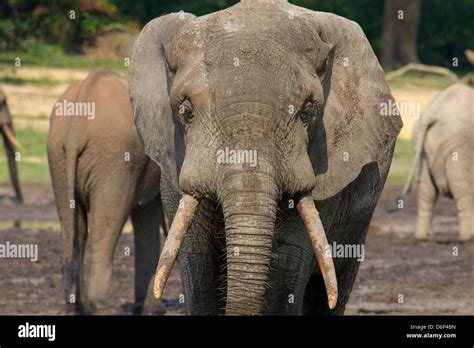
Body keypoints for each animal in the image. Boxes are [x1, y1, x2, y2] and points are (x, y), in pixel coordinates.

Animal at [47, 69, 167, 314]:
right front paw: (155, 309)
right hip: (115, 160)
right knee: (107, 224)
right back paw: (105, 308)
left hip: (59, 159)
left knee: (73, 225)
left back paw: (79, 305)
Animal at [400, 84, 474, 242]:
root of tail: (433, 112)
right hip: (458, 145)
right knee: (462, 189)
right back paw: (468, 237)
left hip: (421, 143)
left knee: (426, 190)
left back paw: (423, 237)